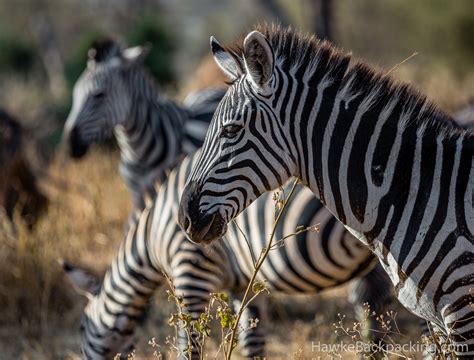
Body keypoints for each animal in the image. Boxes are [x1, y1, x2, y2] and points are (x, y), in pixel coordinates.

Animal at [65, 150, 392, 358]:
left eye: (81, 327)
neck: (150, 236)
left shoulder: (191, 272)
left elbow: (189, 346)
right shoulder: (243, 283)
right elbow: (251, 342)